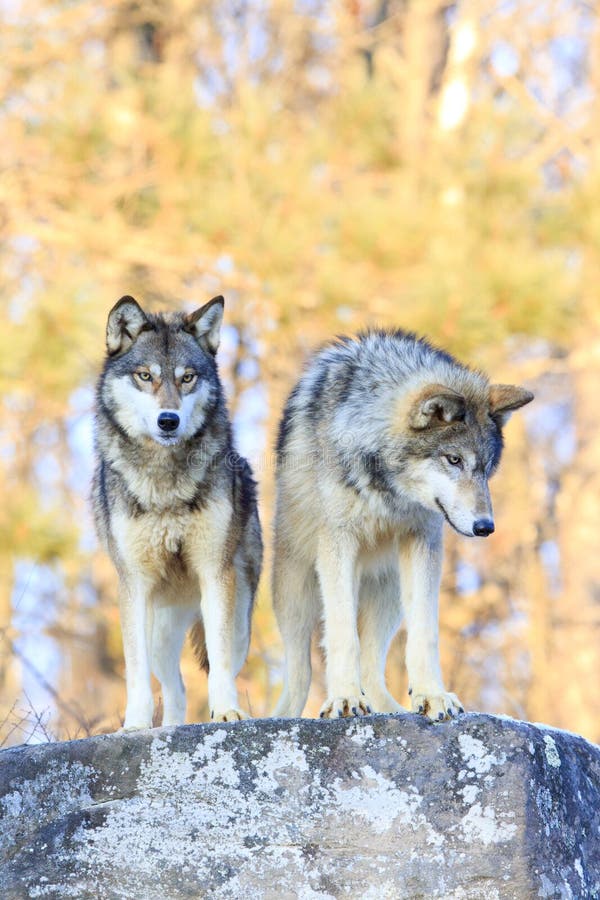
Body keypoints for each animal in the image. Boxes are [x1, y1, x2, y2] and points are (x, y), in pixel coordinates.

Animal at [92, 296, 262, 732]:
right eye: (145, 376)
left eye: (187, 378)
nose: (168, 420)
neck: (164, 481)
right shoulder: (133, 584)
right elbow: (135, 671)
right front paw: (135, 725)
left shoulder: (215, 573)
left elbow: (219, 661)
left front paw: (226, 711)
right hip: (159, 629)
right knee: (175, 687)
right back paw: (167, 727)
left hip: (239, 616)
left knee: (216, 666)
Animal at [274, 326, 532, 720]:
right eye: (453, 459)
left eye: (486, 468)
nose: (485, 527)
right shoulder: (338, 543)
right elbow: (342, 634)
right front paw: (344, 697)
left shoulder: (423, 542)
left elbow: (425, 632)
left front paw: (432, 695)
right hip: (296, 594)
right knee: (300, 670)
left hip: (389, 594)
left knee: (372, 666)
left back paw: (387, 708)